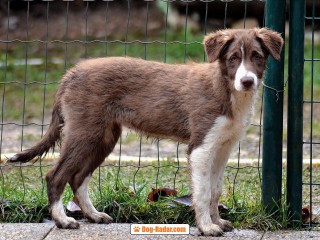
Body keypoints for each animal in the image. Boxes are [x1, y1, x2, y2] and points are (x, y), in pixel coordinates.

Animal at [9, 28, 282, 236]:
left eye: (257, 56)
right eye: (234, 58)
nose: (247, 81)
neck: (226, 89)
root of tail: (70, 73)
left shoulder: (223, 148)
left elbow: (215, 190)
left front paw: (218, 222)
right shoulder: (201, 148)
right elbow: (203, 193)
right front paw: (206, 227)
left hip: (103, 137)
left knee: (78, 178)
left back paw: (94, 215)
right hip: (85, 132)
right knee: (55, 176)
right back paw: (63, 220)